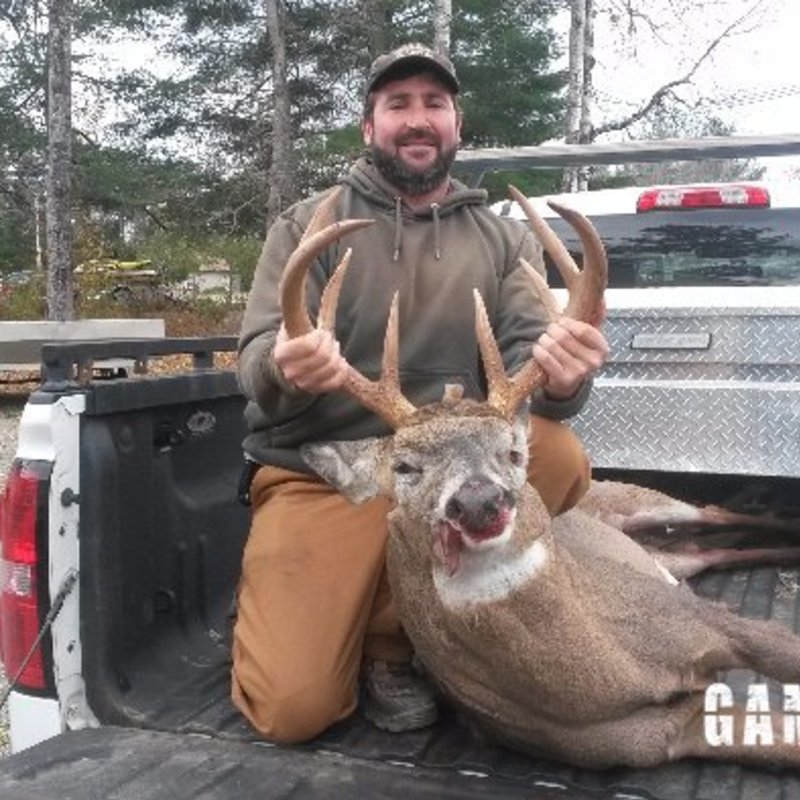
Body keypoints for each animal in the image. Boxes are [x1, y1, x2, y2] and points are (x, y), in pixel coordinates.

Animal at [278, 186, 800, 770]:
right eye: (405, 467)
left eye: (513, 451)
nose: (479, 501)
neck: (617, 674)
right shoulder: (657, 735)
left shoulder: (703, 621)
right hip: (670, 554)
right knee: (714, 548)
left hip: (640, 501)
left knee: (721, 513)